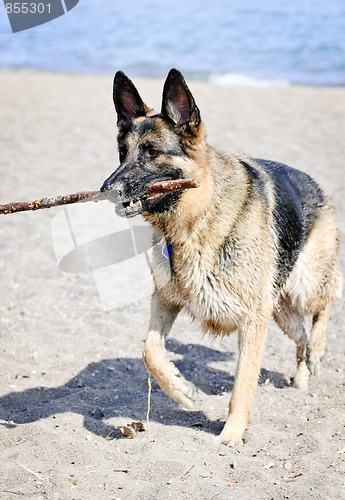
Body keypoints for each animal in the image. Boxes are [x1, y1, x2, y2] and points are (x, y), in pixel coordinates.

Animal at [100, 68, 342, 444]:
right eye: (122, 153)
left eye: (152, 152)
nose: (105, 190)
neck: (197, 220)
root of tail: (316, 184)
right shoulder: (166, 298)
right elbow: (149, 351)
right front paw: (181, 389)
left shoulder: (252, 321)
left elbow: (242, 384)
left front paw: (231, 434)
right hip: (282, 314)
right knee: (300, 338)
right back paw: (302, 374)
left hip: (304, 286)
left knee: (323, 307)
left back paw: (318, 349)